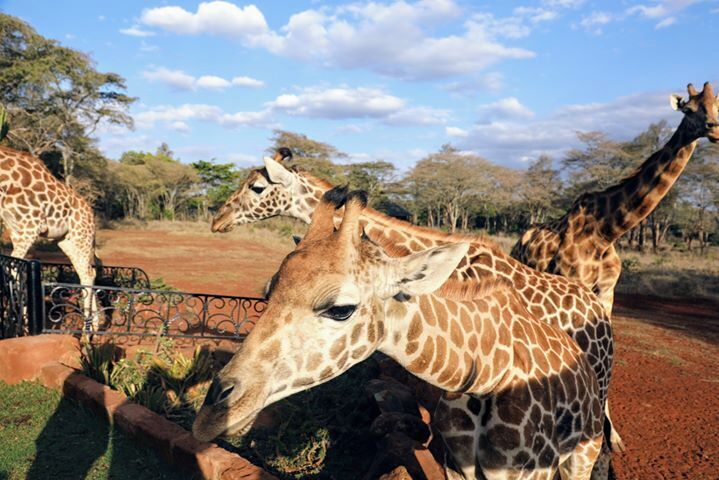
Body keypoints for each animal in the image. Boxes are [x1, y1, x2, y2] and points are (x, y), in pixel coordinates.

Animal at [0, 145, 98, 323]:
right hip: (67, 241)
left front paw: (23, 319)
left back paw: (87, 328)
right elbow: (15, 268)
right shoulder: (14, 230)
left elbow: (14, 268)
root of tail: (91, 213)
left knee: (87, 274)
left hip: (82, 237)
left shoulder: (31, 227)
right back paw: (94, 324)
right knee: (88, 272)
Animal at [511, 82, 719, 317]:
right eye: (688, 110)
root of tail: (519, 241)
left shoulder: (606, 291)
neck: (606, 233)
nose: (714, 129)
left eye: (716, 108)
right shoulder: (572, 283)